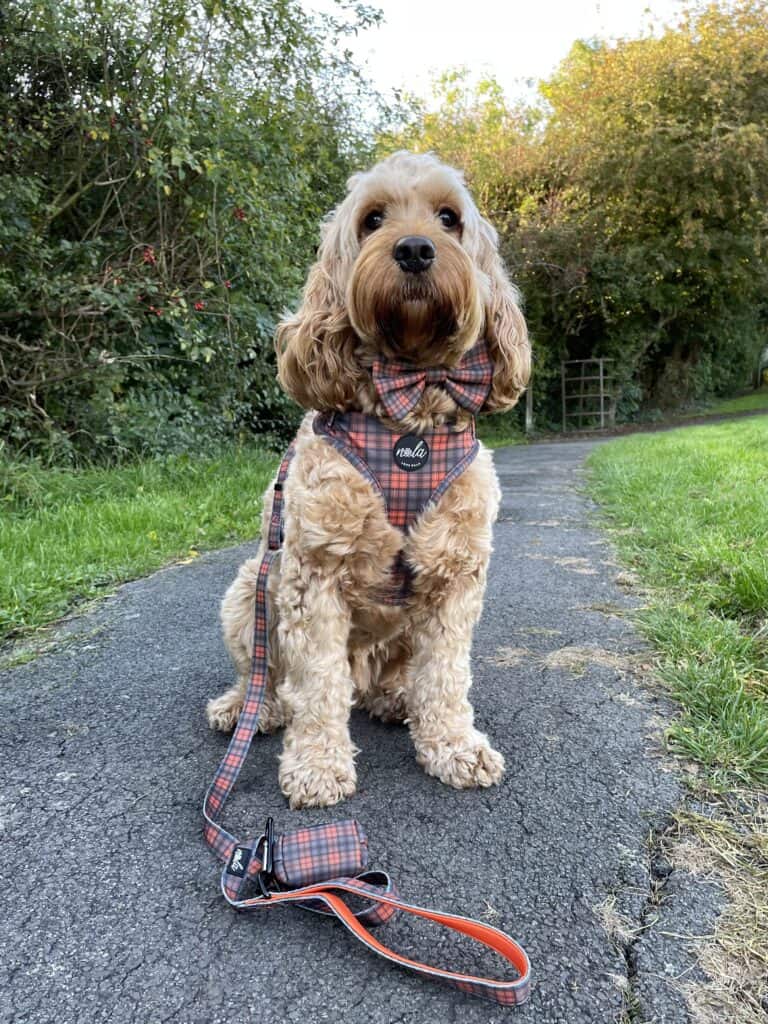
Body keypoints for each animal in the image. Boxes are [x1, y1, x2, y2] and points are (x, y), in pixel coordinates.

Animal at [207, 149, 532, 806]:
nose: (414, 249)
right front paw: (316, 764)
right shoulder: (313, 574)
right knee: (266, 676)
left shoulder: (455, 574)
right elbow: (317, 683)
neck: (406, 417)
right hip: (249, 591)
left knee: (396, 678)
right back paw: (248, 708)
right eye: (373, 219)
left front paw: (453, 746)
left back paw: (395, 699)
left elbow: (446, 675)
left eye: (449, 217)